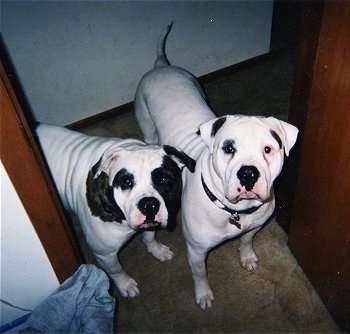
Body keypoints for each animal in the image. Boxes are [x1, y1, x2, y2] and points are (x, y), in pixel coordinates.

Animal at [37, 124, 196, 298]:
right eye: (126, 182)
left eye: (164, 180)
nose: (149, 204)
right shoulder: (105, 254)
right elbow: (116, 270)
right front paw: (125, 284)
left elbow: (149, 237)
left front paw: (156, 250)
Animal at [134, 24, 298, 310]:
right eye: (228, 148)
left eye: (268, 149)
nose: (248, 173)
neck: (235, 211)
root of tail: (161, 66)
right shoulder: (197, 251)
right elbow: (200, 274)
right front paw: (203, 295)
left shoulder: (254, 226)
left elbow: (246, 240)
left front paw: (247, 257)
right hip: (148, 129)